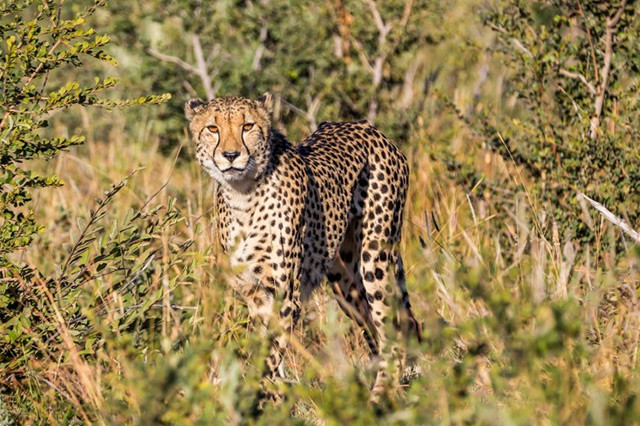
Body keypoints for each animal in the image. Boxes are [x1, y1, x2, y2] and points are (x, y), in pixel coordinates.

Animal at [185, 91, 422, 402]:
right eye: (213, 129)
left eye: (247, 126)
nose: (231, 155)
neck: (243, 194)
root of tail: (368, 127)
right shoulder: (255, 293)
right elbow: (267, 349)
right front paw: (272, 399)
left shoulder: (287, 293)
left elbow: (271, 353)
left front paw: (260, 396)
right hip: (345, 281)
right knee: (382, 330)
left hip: (376, 257)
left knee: (392, 330)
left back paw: (379, 398)